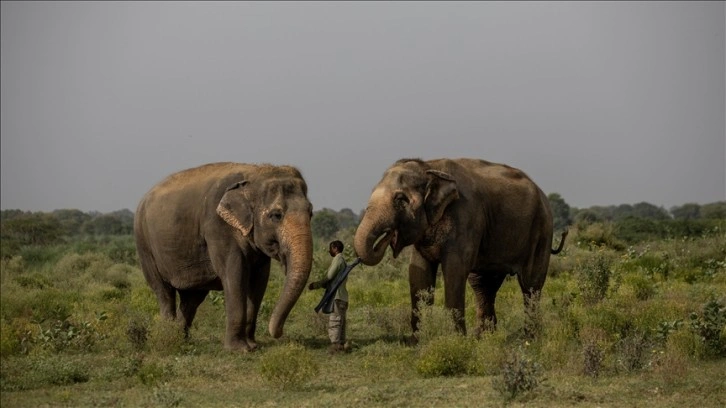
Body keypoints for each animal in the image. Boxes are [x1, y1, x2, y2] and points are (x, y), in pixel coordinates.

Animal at [135, 162, 314, 350]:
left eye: (311, 213)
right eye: (276, 215)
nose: (277, 333)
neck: (254, 173)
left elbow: (259, 280)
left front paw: (253, 345)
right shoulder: (217, 226)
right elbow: (235, 274)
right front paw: (239, 349)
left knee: (192, 298)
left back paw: (181, 339)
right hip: (144, 244)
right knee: (164, 292)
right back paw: (168, 337)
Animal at [352, 158, 568, 340]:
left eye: (400, 199)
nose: (388, 235)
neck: (428, 166)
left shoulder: (465, 218)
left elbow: (454, 270)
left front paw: (454, 340)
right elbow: (418, 275)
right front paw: (418, 341)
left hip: (542, 231)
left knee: (531, 285)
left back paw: (530, 338)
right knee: (483, 285)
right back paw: (484, 337)